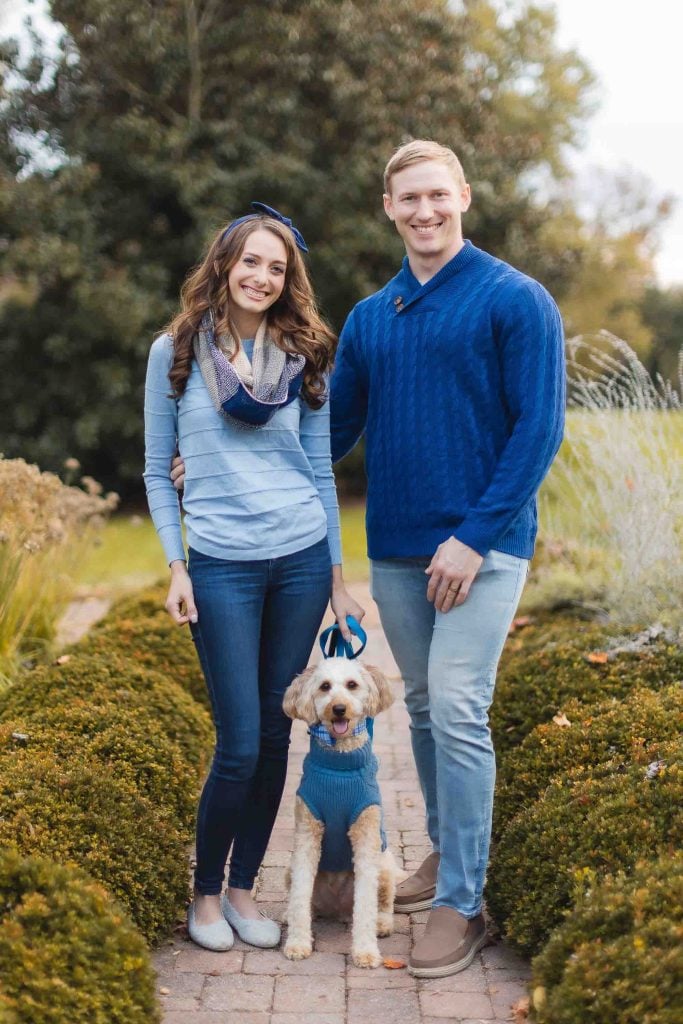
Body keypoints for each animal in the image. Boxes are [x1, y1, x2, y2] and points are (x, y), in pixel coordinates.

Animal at [282, 655, 401, 966]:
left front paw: (365, 951)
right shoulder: (307, 834)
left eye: (352, 685)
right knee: (305, 902)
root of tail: (337, 909)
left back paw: (382, 924)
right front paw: (298, 943)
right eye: (325, 686)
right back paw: (290, 915)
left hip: (385, 865)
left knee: (383, 903)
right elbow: (300, 895)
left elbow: (366, 904)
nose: (338, 708)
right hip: (289, 869)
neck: (339, 765)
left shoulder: (366, 836)